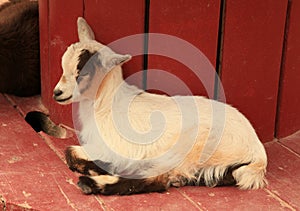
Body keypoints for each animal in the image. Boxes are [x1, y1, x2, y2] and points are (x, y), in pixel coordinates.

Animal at [53, 17, 268, 195]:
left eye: (82, 73)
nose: (57, 93)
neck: (105, 105)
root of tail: (258, 153)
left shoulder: (115, 147)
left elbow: (70, 152)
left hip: (186, 148)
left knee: (157, 179)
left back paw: (90, 183)